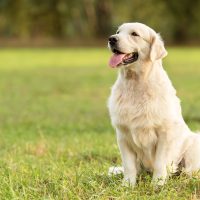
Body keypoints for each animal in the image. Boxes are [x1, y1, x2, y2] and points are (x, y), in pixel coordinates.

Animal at [108, 22, 200, 187]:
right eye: (118, 32)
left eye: (134, 34)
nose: (111, 39)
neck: (136, 84)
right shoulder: (123, 135)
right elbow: (128, 165)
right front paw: (127, 185)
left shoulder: (164, 133)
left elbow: (159, 162)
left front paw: (157, 184)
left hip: (194, 145)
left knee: (188, 171)